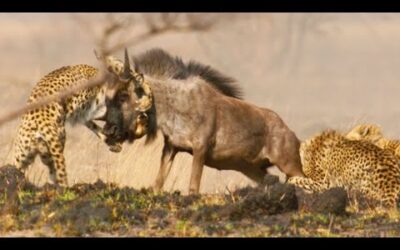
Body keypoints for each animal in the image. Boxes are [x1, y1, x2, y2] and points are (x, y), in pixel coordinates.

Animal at [11, 53, 152, 187]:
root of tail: (40, 125)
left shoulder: (85, 114)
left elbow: (97, 127)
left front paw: (114, 143)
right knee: (57, 174)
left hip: (25, 154)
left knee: (20, 167)